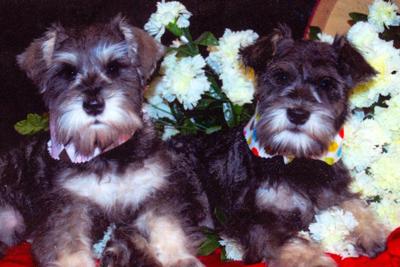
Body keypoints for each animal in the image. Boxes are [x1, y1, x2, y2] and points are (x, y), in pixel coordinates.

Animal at [0, 15, 211, 266]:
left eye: (113, 68)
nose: (93, 105)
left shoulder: (155, 190)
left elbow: (167, 225)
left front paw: (178, 257)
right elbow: (68, 245)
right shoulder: (67, 207)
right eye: (68, 73)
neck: (105, 151)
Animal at [171, 25, 388, 267]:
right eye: (281, 76)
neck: (295, 158)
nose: (298, 113)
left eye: (326, 83)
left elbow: (354, 203)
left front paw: (372, 233)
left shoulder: (333, 189)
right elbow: (292, 241)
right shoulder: (256, 217)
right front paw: (315, 261)